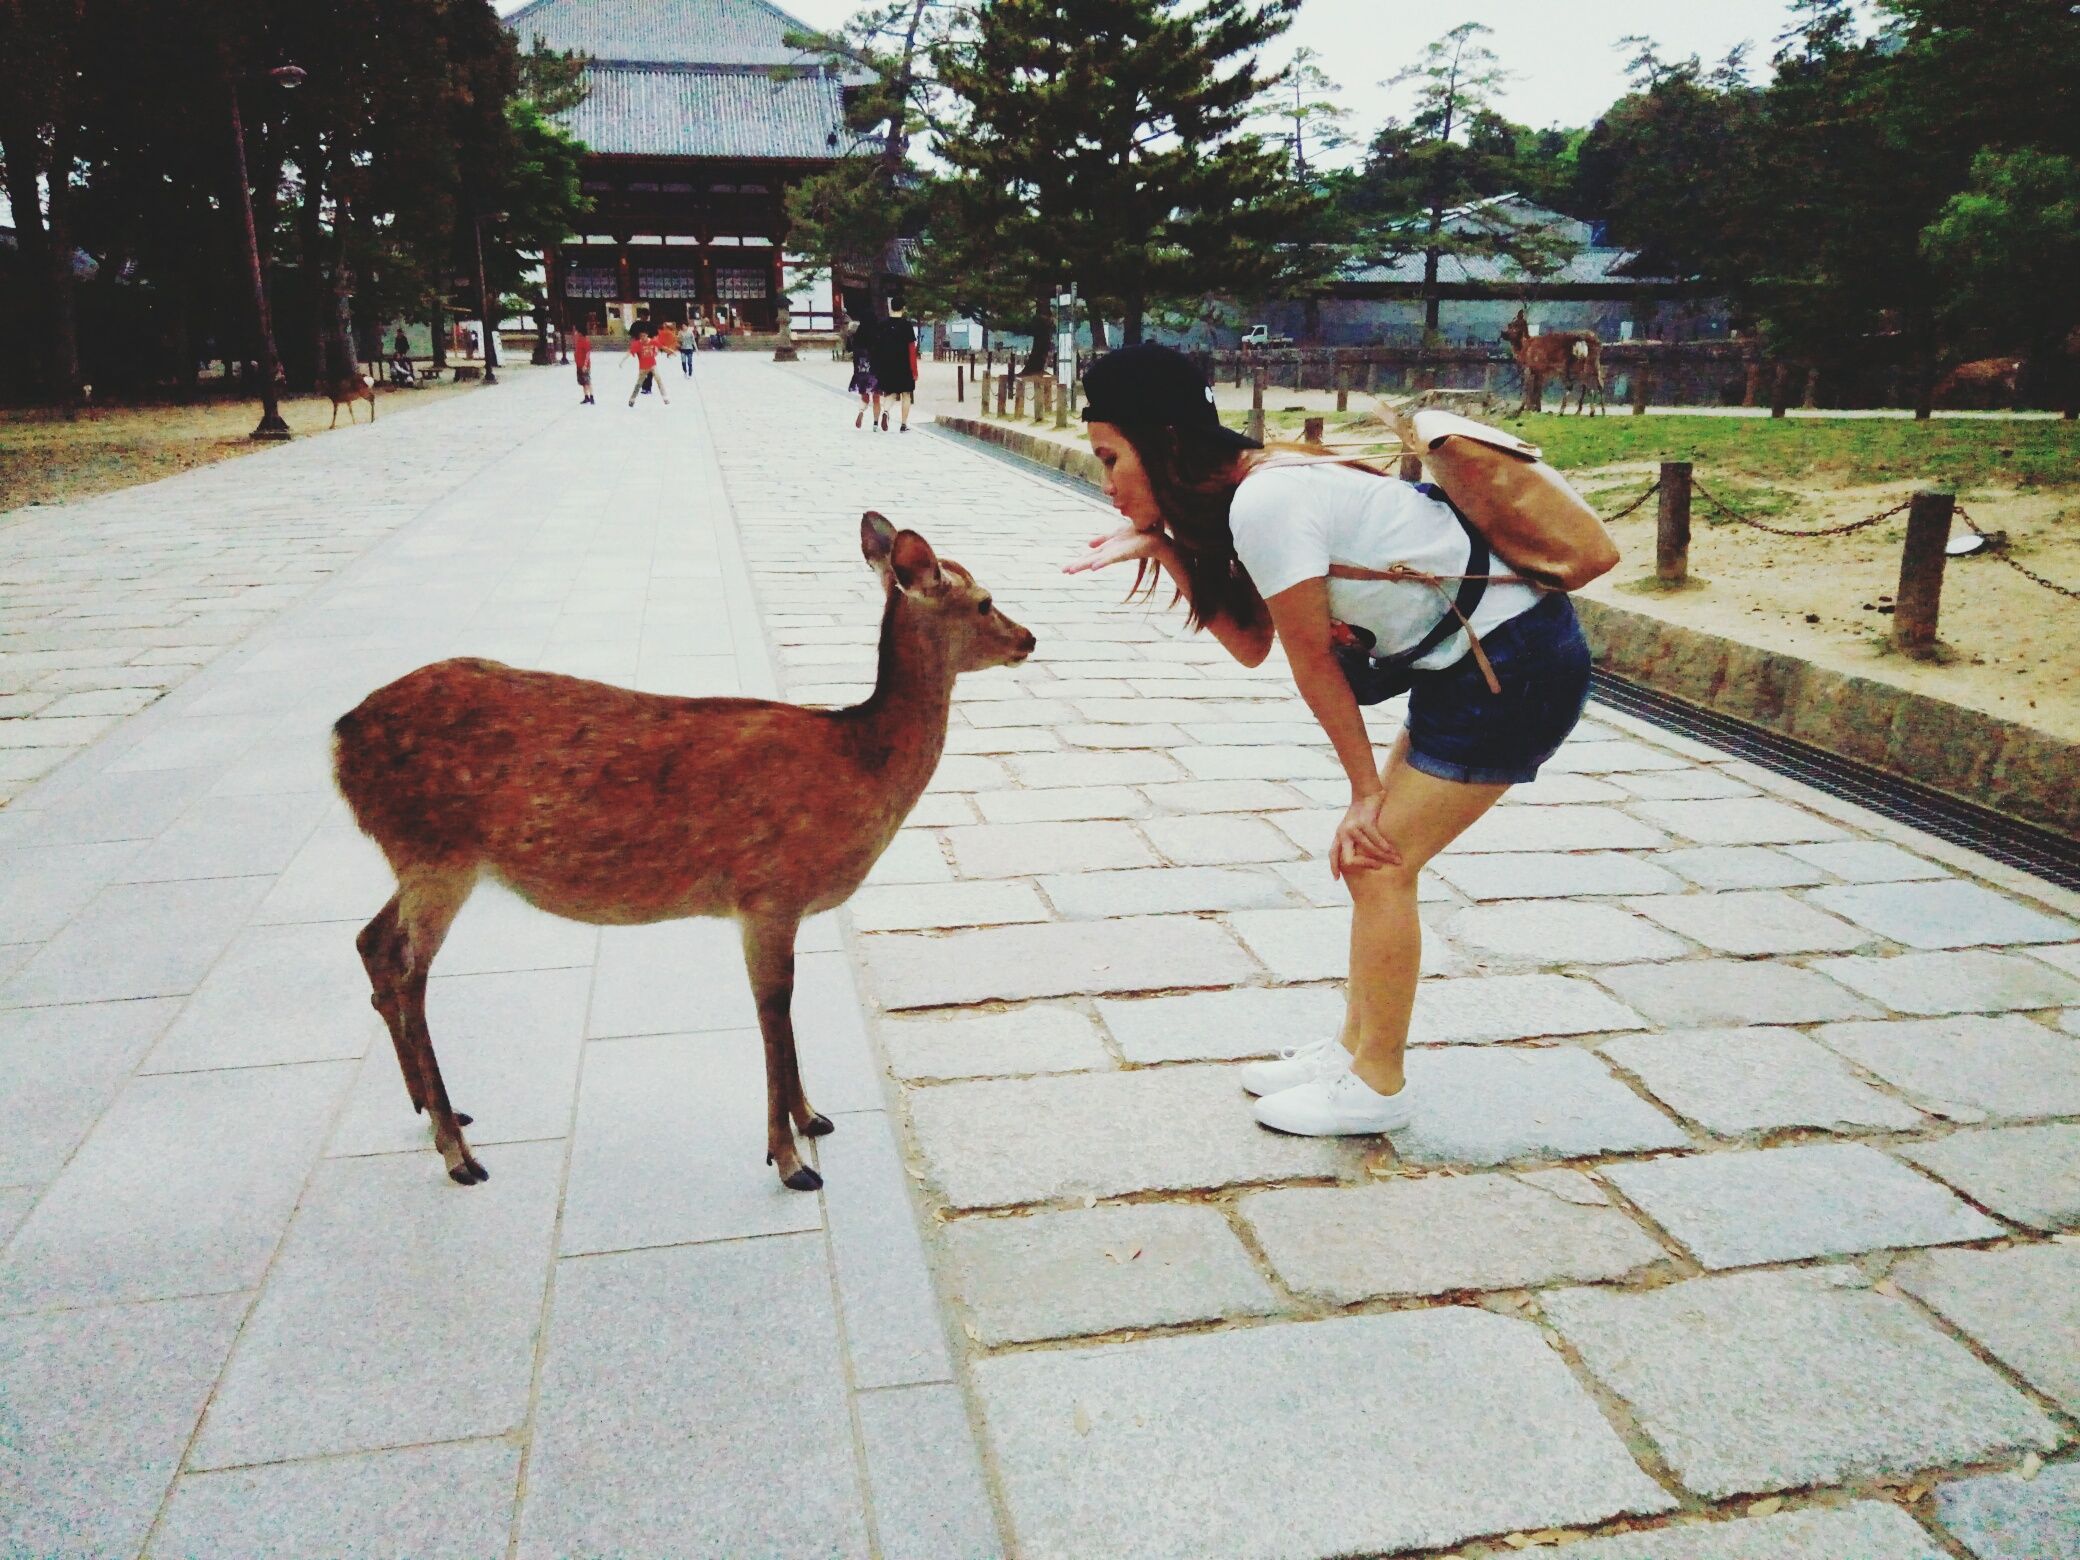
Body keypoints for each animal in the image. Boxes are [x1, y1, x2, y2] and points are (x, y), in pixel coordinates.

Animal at [331, 514, 1035, 1191]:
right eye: (984, 601)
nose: (1029, 639)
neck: (858, 762)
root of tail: (339, 739)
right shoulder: (768, 891)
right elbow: (772, 1010)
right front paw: (790, 1159)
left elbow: (782, 1012)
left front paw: (812, 1118)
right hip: (436, 851)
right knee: (408, 969)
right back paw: (458, 1151)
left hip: (423, 857)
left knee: (370, 940)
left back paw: (431, 1111)